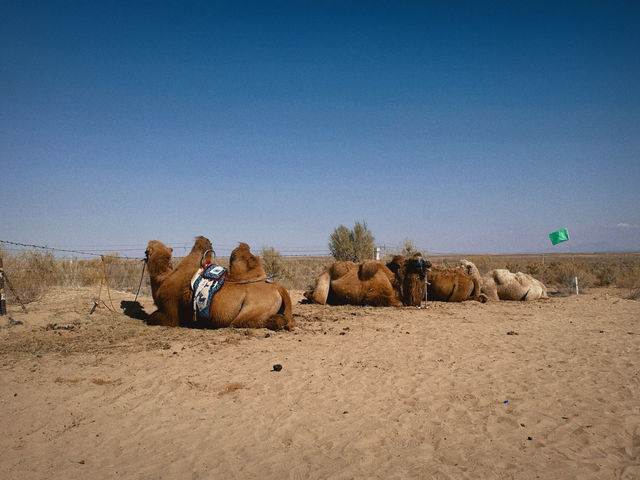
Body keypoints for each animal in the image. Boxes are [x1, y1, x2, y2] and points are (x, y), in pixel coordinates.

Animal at [145, 236, 296, 330]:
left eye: (146, 252)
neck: (164, 278)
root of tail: (278, 287)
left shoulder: (170, 313)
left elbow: (151, 319)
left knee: (240, 322)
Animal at [302, 251, 432, 308]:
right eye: (415, 261)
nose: (429, 263)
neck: (395, 282)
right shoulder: (374, 296)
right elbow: (399, 303)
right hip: (323, 284)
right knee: (318, 298)